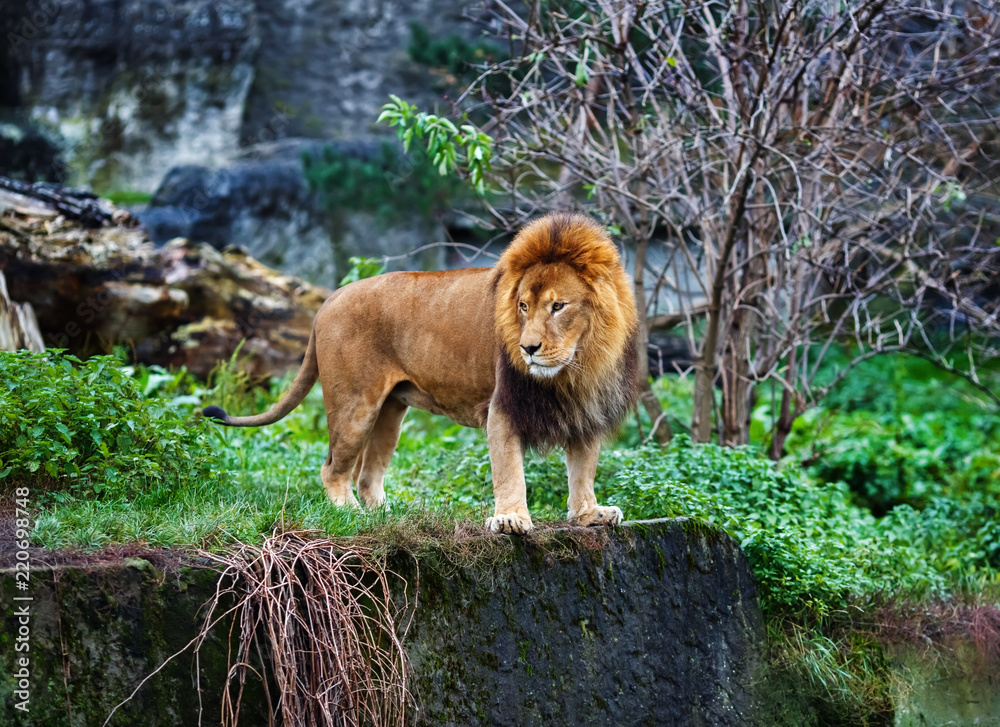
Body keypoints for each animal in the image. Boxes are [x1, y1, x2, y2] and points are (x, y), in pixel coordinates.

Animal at [203, 213, 638, 533]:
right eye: (523, 306)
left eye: (558, 306)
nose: (527, 349)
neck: (575, 368)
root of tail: (330, 298)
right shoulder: (502, 407)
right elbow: (510, 469)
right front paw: (511, 519)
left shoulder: (587, 409)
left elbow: (583, 469)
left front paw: (590, 514)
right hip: (354, 406)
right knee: (332, 469)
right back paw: (349, 513)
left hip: (390, 411)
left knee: (367, 475)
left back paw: (386, 516)